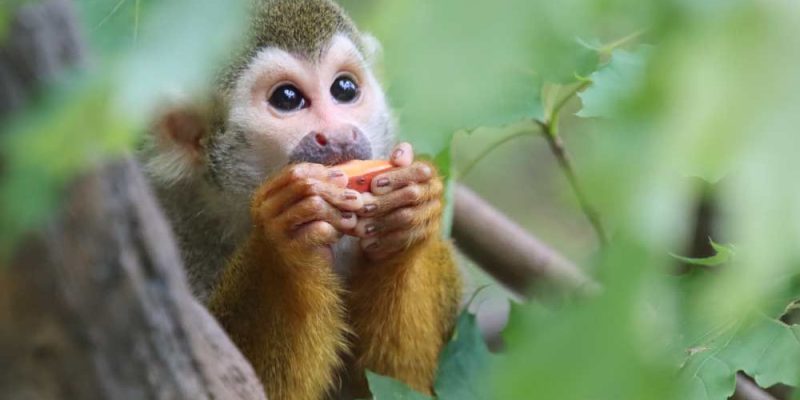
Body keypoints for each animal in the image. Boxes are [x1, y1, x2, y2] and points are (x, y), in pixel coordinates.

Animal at [140, 0, 462, 399]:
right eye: (287, 98)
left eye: (344, 89)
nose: (338, 135)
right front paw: (286, 244)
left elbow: (396, 382)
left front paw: (406, 222)